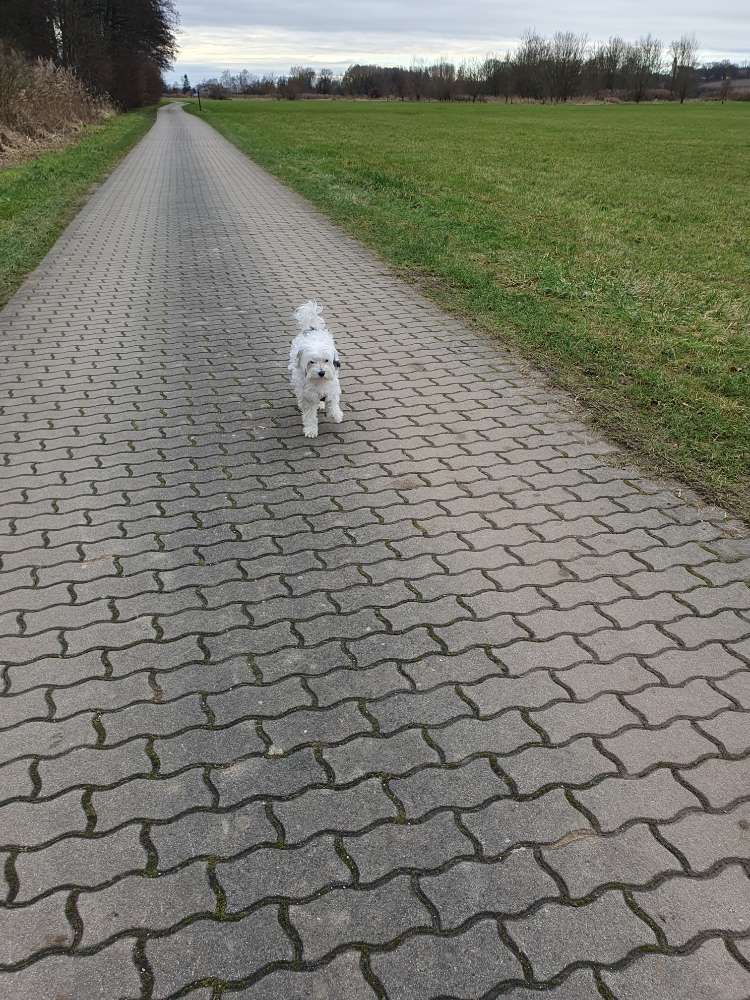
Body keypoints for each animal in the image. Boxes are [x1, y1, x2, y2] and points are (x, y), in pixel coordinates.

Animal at [290, 298, 346, 436]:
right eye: (311, 362)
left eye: (326, 360)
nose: (321, 372)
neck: (319, 381)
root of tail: (311, 328)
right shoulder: (308, 395)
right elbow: (309, 414)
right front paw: (311, 429)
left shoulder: (332, 386)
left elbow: (333, 401)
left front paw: (336, 414)